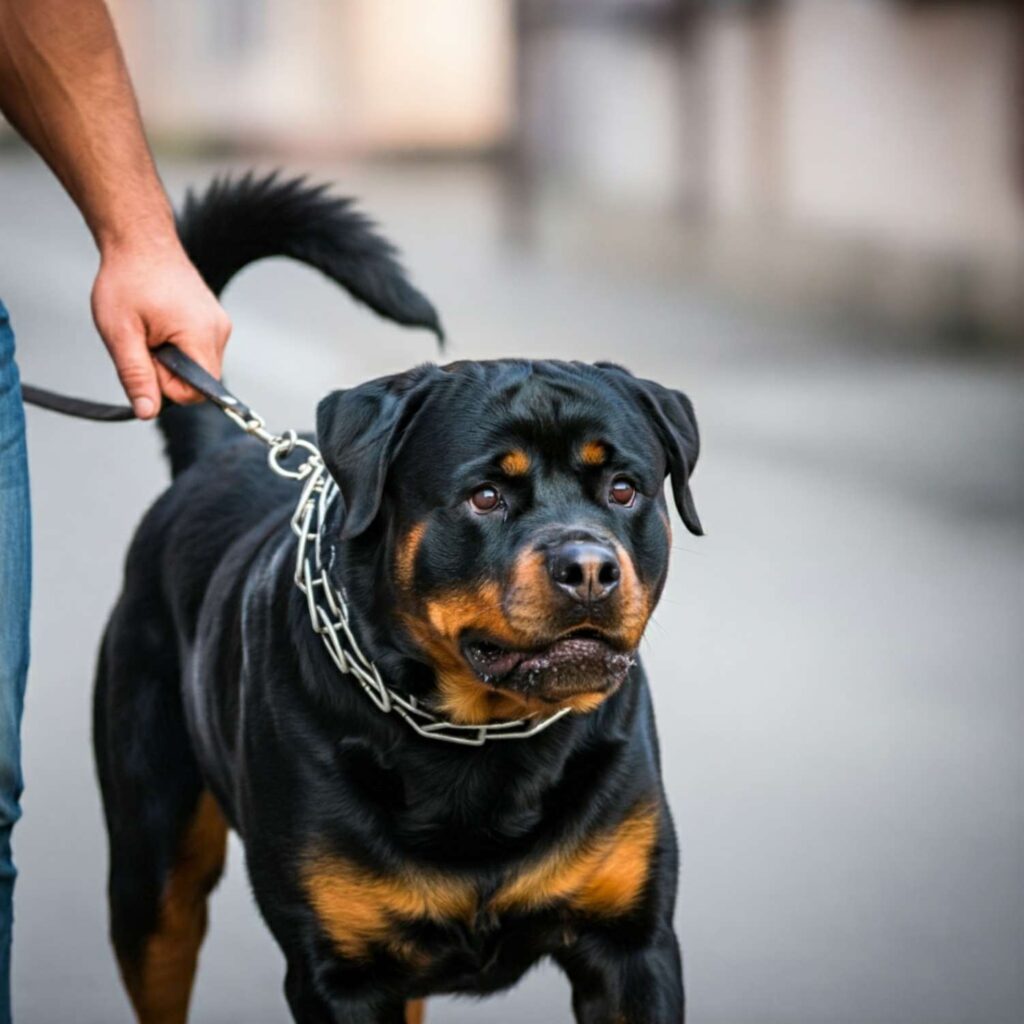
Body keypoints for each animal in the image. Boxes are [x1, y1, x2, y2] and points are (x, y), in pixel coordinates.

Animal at [94, 172, 704, 1019]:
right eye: (485, 496)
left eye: (623, 488)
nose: (587, 567)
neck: (482, 738)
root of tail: (214, 456)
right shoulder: (340, 974)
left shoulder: (633, 946)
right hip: (151, 873)